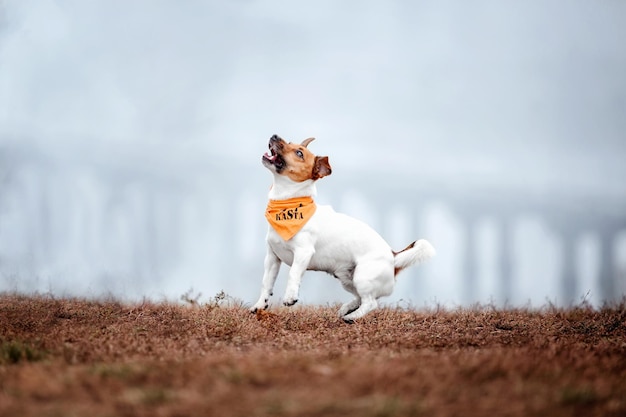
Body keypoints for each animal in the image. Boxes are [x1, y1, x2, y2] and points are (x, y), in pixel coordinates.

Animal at [250, 134, 434, 322]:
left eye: (299, 153)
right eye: (290, 143)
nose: (274, 135)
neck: (287, 203)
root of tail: (393, 256)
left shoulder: (303, 252)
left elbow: (293, 273)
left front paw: (290, 297)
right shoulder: (272, 257)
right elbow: (266, 283)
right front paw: (260, 305)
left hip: (363, 277)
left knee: (371, 302)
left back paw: (352, 316)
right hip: (346, 278)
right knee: (362, 298)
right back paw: (347, 308)